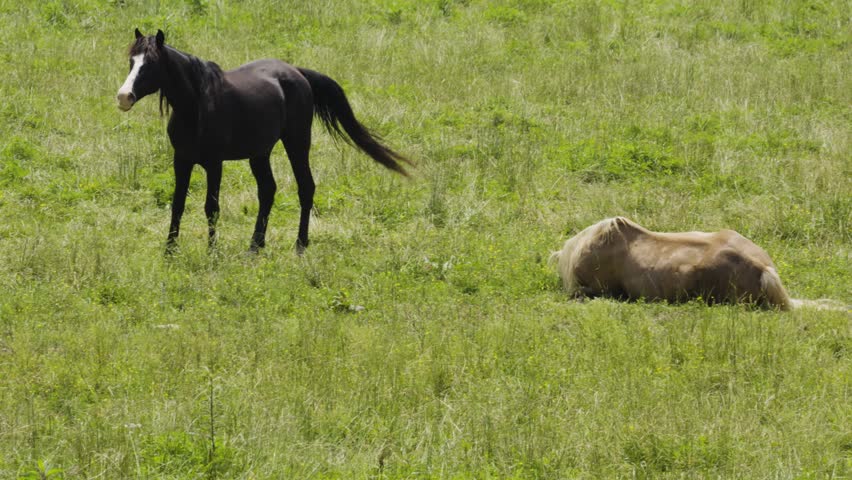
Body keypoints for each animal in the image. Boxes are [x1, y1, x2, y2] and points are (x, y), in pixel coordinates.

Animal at [116, 29, 411, 253]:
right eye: (132, 61)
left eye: (150, 64)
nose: (124, 96)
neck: (197, 105)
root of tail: (297, 73)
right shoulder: (182, 160)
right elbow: (177, 205)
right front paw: (169, 251)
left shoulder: (214, 163)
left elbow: (211, 207)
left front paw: (212, 251)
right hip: (260, 154)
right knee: (268, 190)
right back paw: (255, 246)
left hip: (297, 142)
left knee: (306, 187)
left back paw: (300, 244)